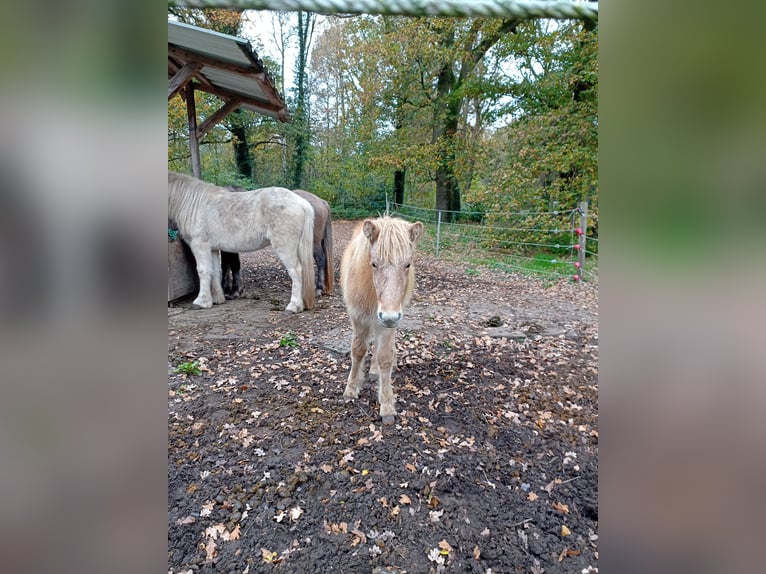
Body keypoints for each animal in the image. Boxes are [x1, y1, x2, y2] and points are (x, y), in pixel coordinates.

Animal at [342, 216, 426, 424]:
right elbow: (358, 351)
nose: (389, 317)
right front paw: (351, 389)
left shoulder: (388, 323)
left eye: (407, 264)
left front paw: (387, 406)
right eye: (373, 264)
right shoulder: (358, 318)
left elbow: (385, 357)